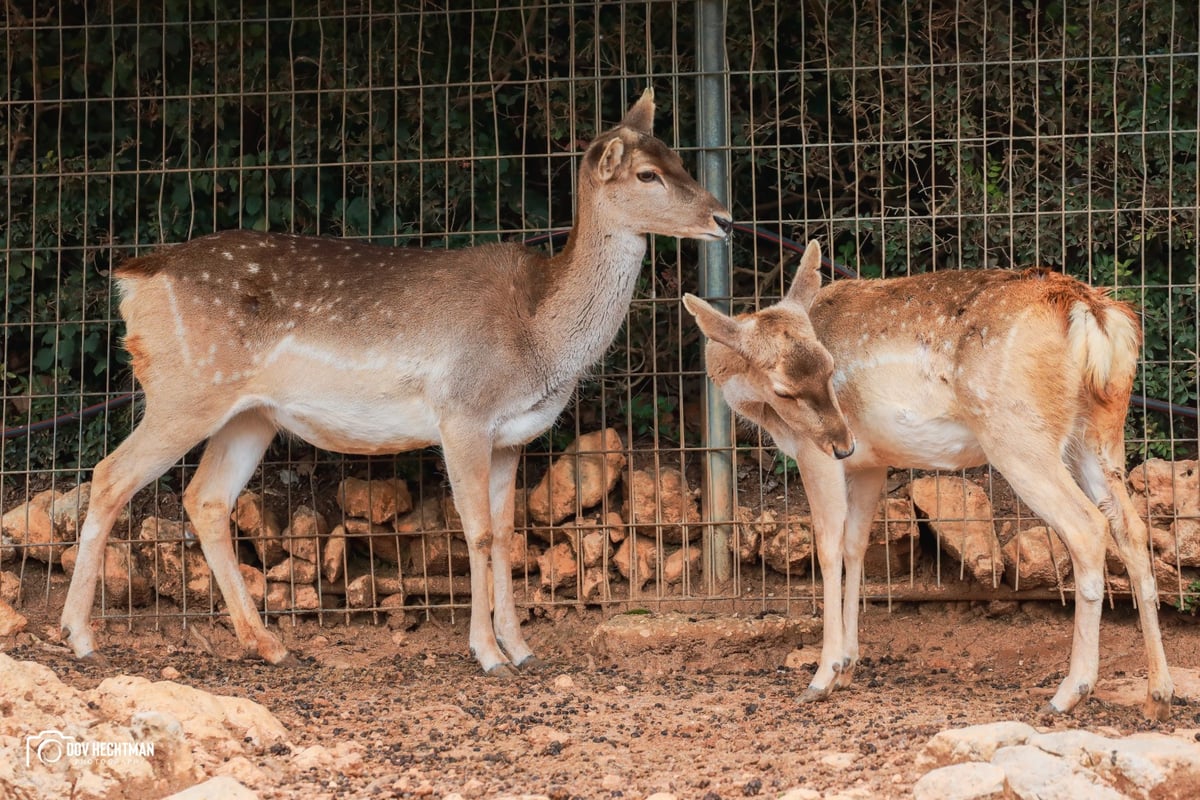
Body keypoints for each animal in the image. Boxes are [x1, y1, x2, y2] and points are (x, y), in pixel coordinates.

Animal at [65, 87, 734, 676]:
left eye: (681, 158)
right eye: (647, 174)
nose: (724, 218)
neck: (539, 335)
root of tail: (134, 278)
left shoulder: (512, 435)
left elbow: (507, 534)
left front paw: (522, 649)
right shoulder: (461, 412)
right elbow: (477, 532)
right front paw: (488, 654)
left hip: (249, 414)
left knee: (205, 498)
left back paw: (270, 645)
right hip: (185, 390)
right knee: (110, 474)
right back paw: (80, 637)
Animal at [686, 241, 1171, 724]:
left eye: (828, 369)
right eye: (787, 388)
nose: (844, 442)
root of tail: (1093, 314)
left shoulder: (814, 452)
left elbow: (827, 547)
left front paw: (823, 677)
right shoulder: (869, 463)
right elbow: (855, 546)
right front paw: (848, 666)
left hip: (1019, 434)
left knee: (1087, 528)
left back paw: (1070, 691)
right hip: (1100, 433)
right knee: (1132, 529)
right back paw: (1158, 694)